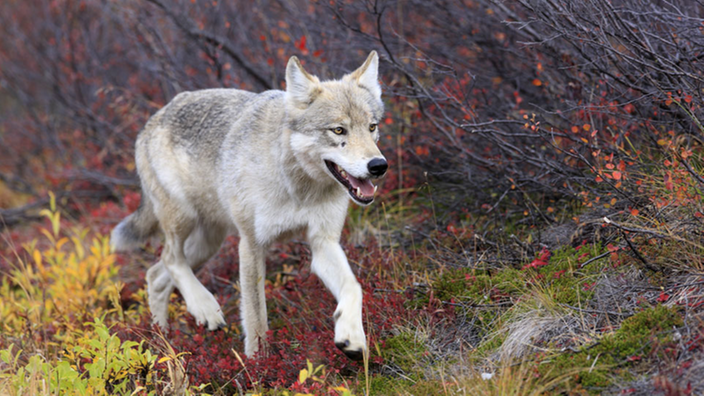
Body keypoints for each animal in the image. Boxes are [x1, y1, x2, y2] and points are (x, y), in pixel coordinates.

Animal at [113, 51, 390, 360]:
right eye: (339, 130)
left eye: (372, 127)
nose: (378, 166)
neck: (299, 188)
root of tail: (151, 121)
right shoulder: (251, 244)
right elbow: (257, 320)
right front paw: (258, 364)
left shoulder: (323, 243)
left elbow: (354, 287)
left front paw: (351, 336)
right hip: (184, 221)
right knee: (171, 260)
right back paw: (203, 310)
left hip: (209, 243)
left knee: (156, 274)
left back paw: (161, 344)